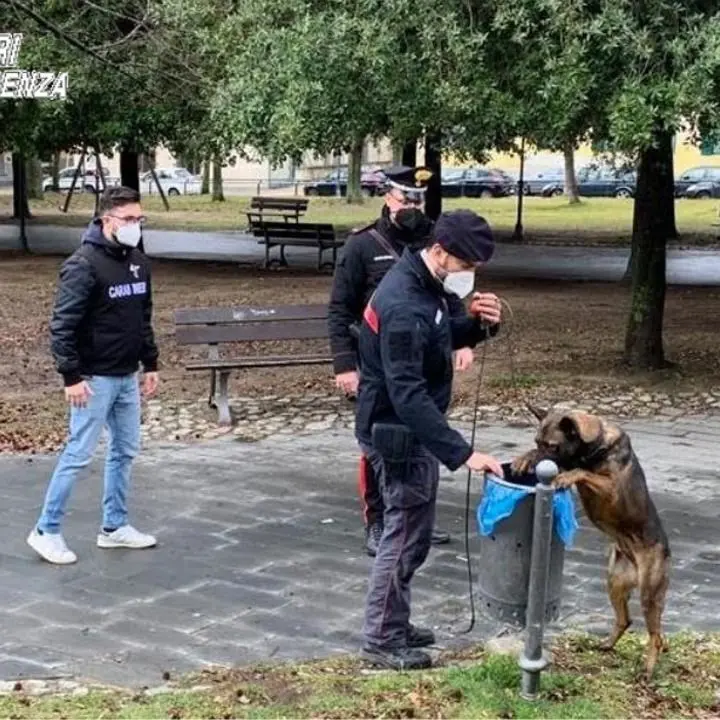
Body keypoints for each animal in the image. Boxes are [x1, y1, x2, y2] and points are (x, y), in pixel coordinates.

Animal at [512, 408, 668, 676]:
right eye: (537, 442)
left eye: (552, 446)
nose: (541, 462)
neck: (594, 446)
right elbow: (573, 468)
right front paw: (526, 457)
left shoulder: (611, 487)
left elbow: (583, 472)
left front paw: (567, 475)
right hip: (614, 582)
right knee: (625, 620)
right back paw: (607, 644)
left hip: (650, 593)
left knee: (655, 636)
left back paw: (648, 669)